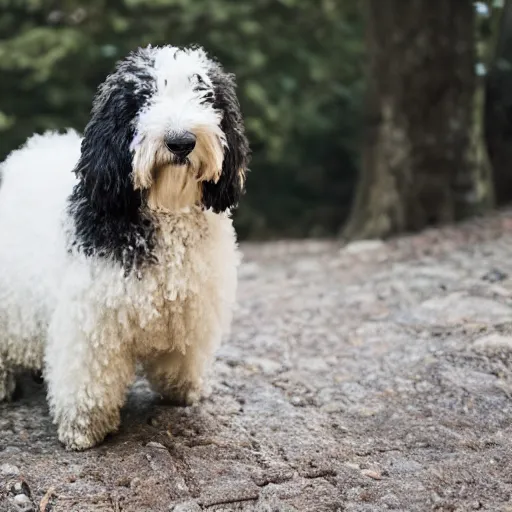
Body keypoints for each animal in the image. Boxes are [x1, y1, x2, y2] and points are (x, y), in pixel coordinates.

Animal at [0, 46, 250, 450]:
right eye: (143, 98)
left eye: (205, 95)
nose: (181, 142)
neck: (165, 210)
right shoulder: (92, 317)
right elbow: (89, 376)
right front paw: (84, 427)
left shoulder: (191, 306)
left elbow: (182, 357)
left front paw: (182, 390)